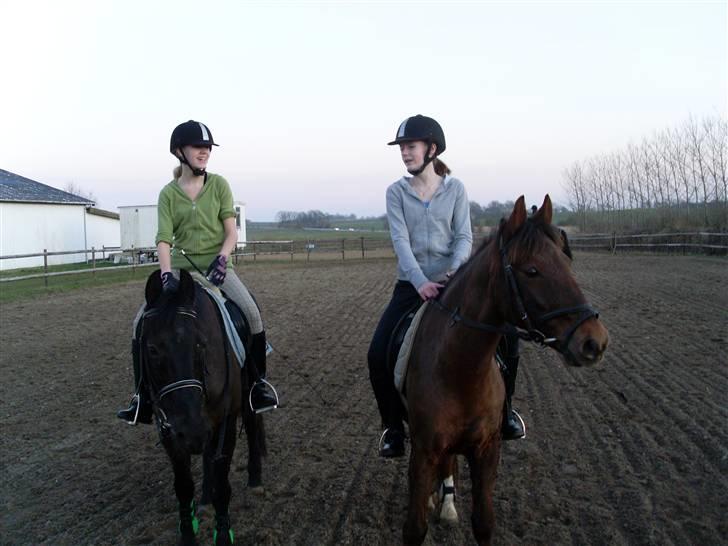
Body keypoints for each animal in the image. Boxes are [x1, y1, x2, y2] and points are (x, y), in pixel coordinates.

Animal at [138, 269, 266, 546]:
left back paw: (255, 479)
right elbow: (183, 487)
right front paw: (188, 534)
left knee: (252, 427)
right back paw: (206, 495)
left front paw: (223, 535)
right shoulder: (169, 428)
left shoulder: (226, 420)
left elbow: (223, 484)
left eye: (200, 344)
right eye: (151, 349)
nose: (192, 431)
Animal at [403, 195, 609, 545]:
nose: (595, 341)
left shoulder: (487, 449)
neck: (461, 371)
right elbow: (414, 527)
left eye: (567, 264)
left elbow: (484, 522)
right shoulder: (424, 450)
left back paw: (446, 504)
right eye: (532, 271)